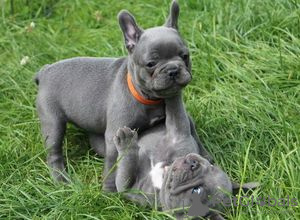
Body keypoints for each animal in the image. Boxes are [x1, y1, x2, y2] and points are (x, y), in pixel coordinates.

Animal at [35, 0, 211, 191]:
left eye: (185, 56)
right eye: (151, 64)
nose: (173, 69)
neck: (149, 99)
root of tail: (44, 71)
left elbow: (191, 126)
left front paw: (204, 155)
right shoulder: (114, 136)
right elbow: (112, 163)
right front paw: (109, 189)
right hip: (52, 123)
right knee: (54, 152)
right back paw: (61, 179)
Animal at [113, 93, 258, 219]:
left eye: (196, 191)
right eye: (212, 167)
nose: (194, 163)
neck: (163, 174)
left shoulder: (130, 189)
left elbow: (126, 168)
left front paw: (126, 141)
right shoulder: (178, 135)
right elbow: (177, 114)